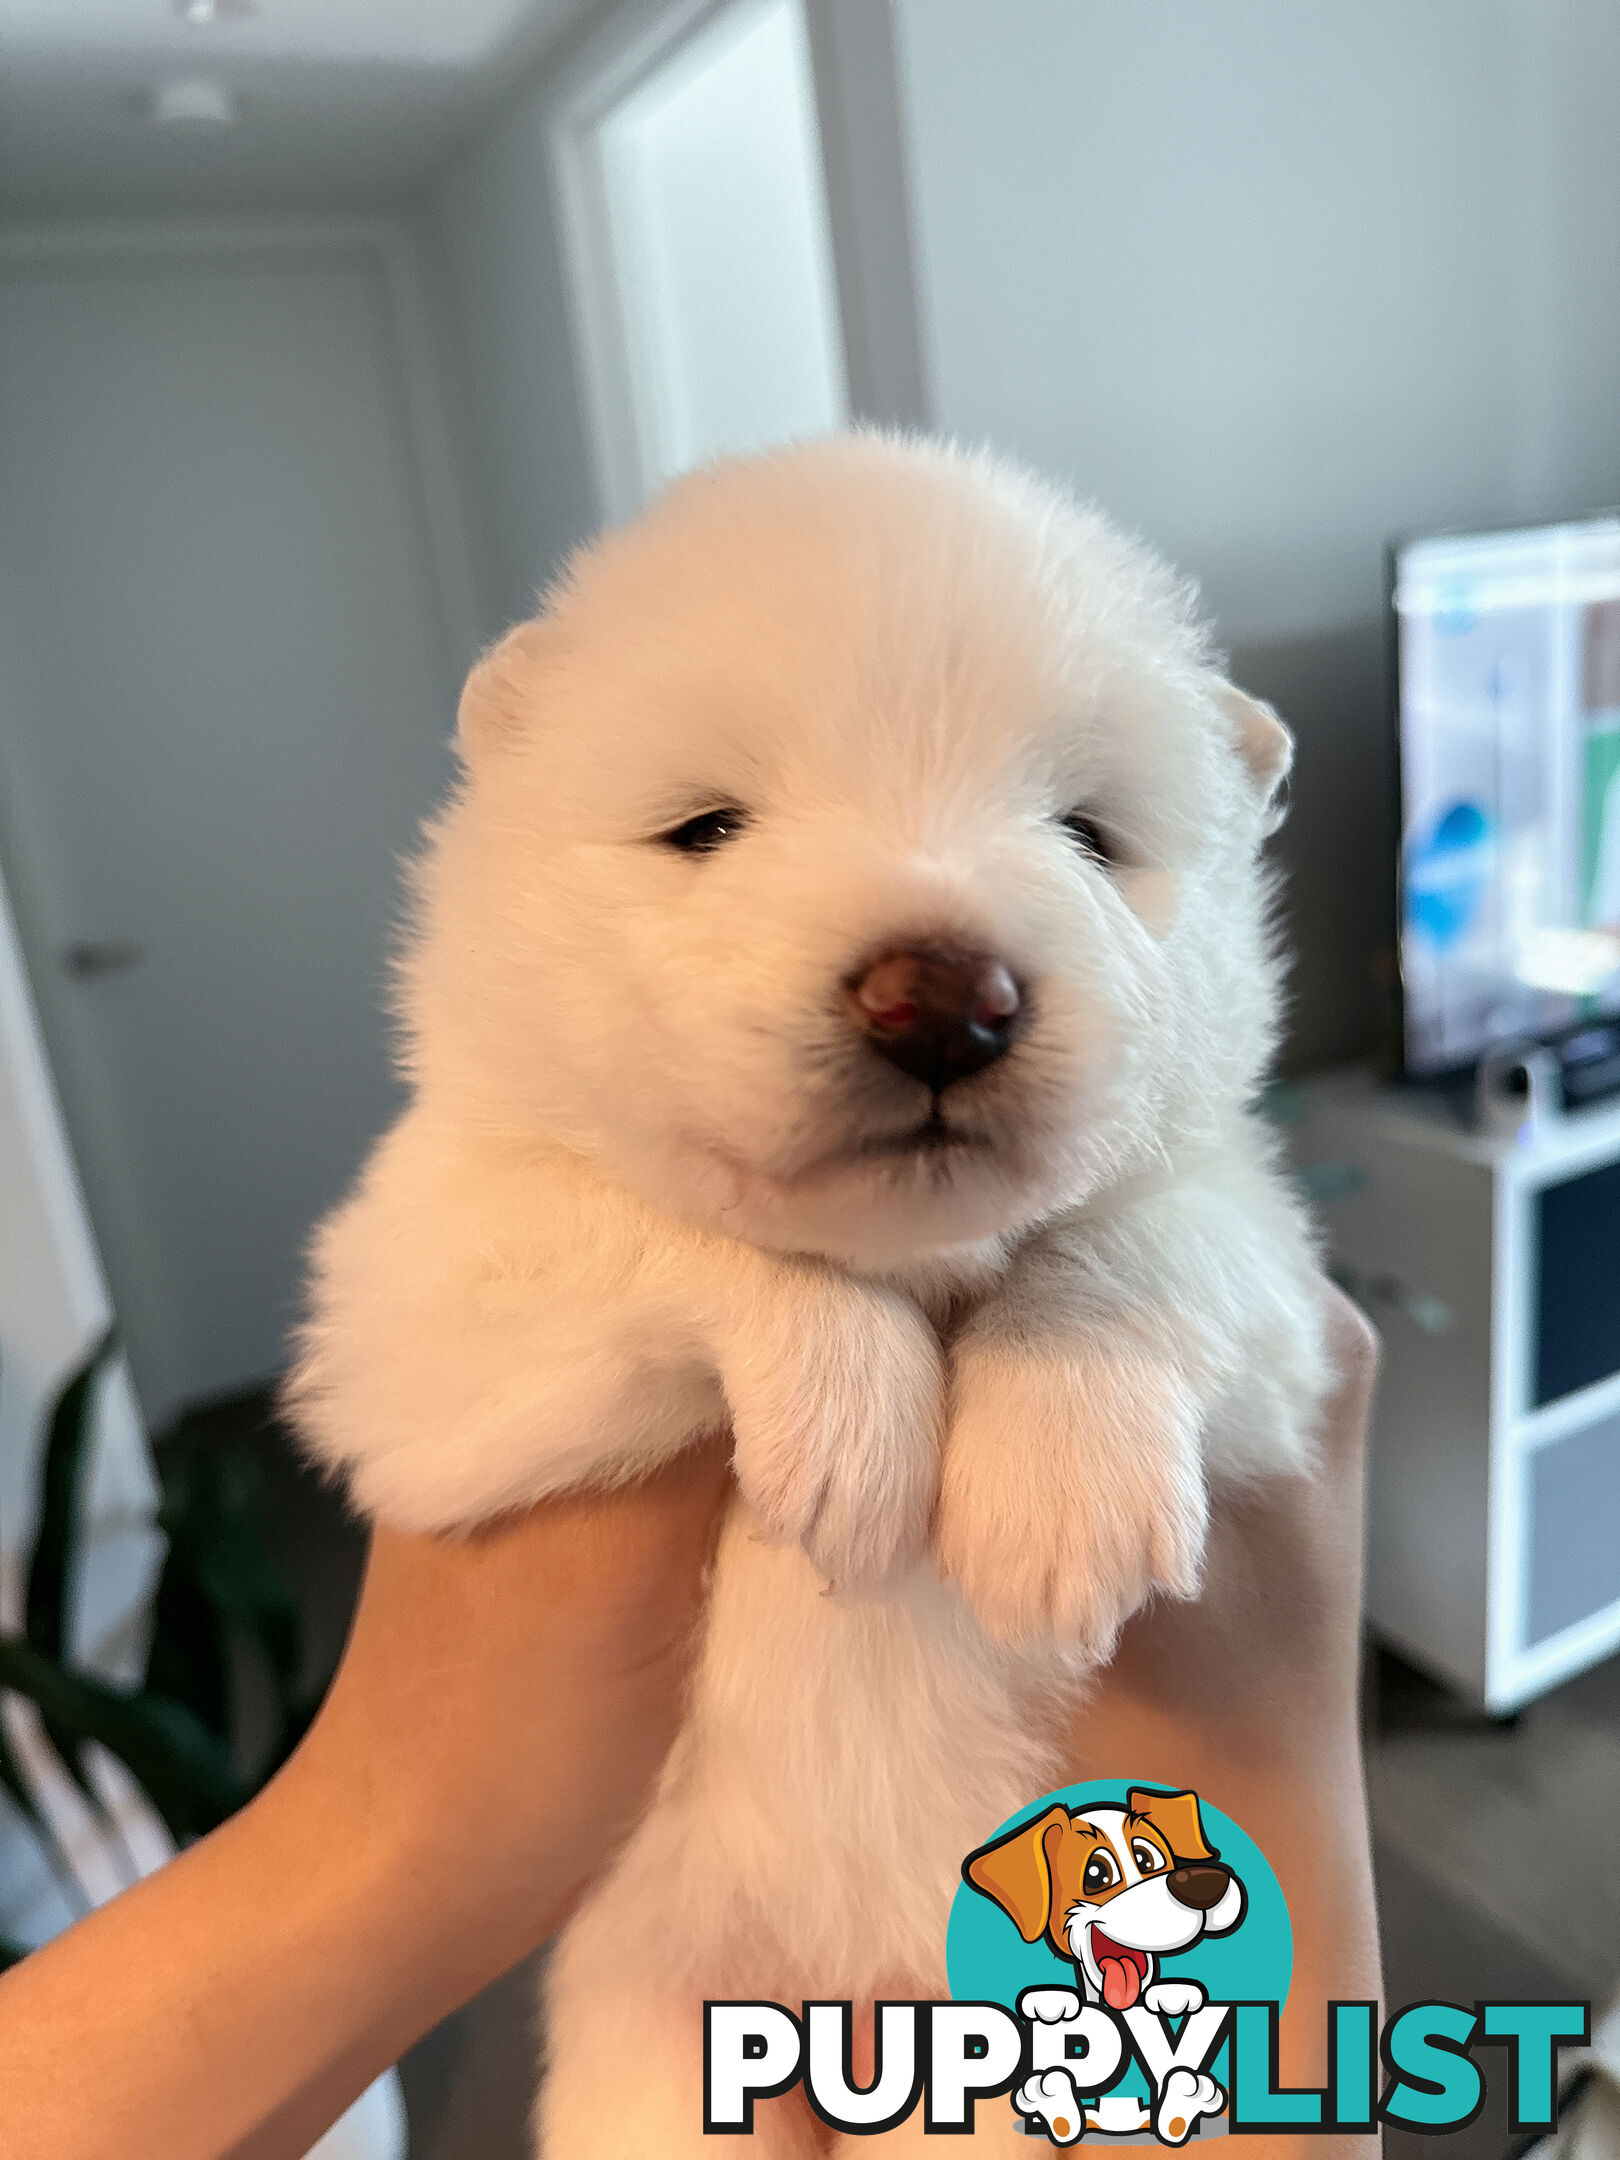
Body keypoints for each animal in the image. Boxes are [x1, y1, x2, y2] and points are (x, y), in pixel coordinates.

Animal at [291, 429, 1330, 2151]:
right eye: (707, 828)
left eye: (1091, 833)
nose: (944, 1000)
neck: (914, 1261)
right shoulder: (418, 1301)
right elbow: (672, 1228)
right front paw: (861, 1436)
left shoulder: (1264, 1260)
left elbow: (1130, 1238)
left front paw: (1058, 1489)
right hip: (653, 2052)